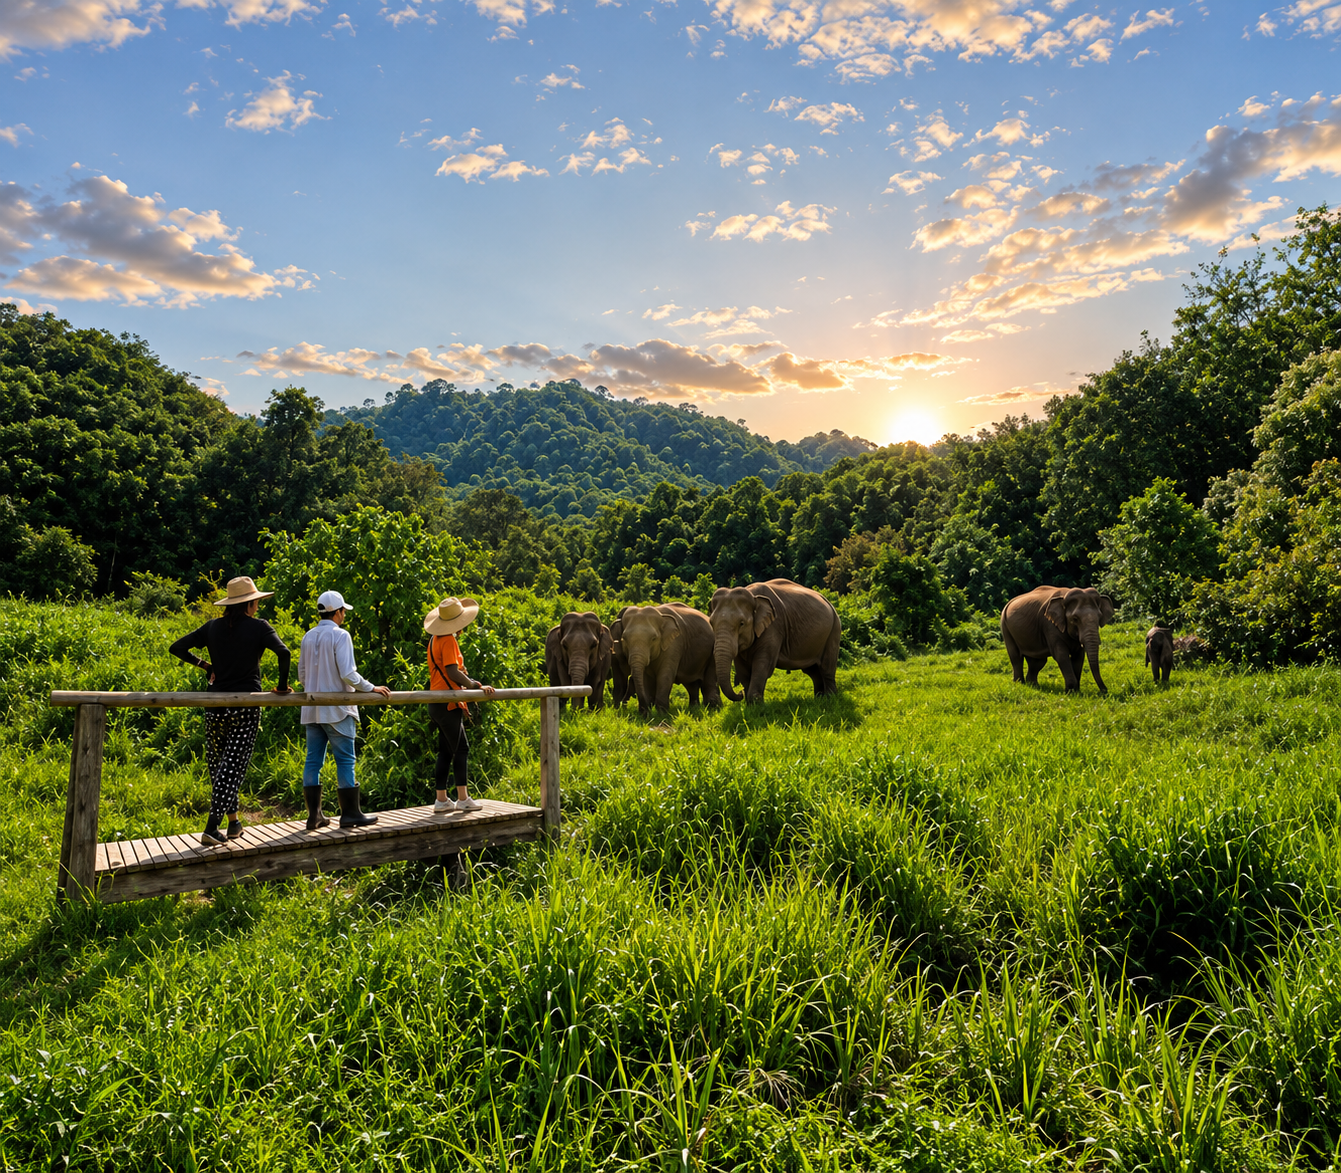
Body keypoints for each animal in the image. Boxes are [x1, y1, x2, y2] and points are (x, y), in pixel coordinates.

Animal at [708, 579, 841, 703]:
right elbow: (742, 669)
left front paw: (756, 704)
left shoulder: (774, 626)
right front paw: (750, 704)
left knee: (826, 667)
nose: (740, 693)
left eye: (742, 623)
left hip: (834, 630)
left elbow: (763, 664)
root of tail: (829, 603)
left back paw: (830, 699)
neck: (753, 596)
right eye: (711, 623)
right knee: (813, 671)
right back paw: (819, 699)